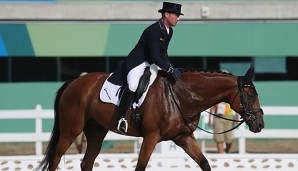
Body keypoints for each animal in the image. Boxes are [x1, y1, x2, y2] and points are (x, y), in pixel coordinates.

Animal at [36, 67, 264, 171]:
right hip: (71, 130)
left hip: (96, 132)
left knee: (87, 162)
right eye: (250, 95)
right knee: (56, 159)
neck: (181, 95)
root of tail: (74, 82)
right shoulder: (151, 137)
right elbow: (140, 167)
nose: (260, 124)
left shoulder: (183, 137)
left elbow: (204, 163)